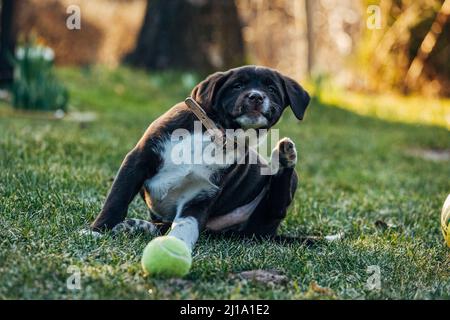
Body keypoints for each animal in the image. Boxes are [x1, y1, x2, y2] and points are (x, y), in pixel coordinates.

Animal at [91, 65, 310, 250]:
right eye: (237, 86)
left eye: (272, 89)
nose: (256, 97)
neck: (218, 133)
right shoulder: (138, 160)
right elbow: (117, 198)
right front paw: (96, 231)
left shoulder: (202, 193)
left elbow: (186, 225)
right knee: (162, 225)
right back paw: (136, 225)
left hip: (282, 194)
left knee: (277, 207)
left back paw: (284, 157)